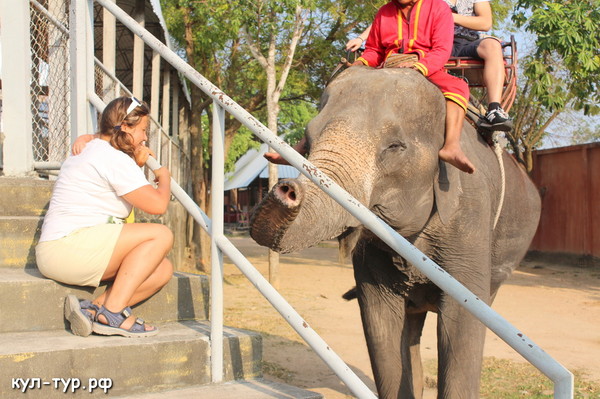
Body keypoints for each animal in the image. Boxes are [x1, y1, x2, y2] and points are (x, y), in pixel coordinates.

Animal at [248, 66, 544, 399]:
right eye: (307, 141)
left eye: (395, 147)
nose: (286, 188)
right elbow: (381, 323)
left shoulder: (470, 216)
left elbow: (463, 323)